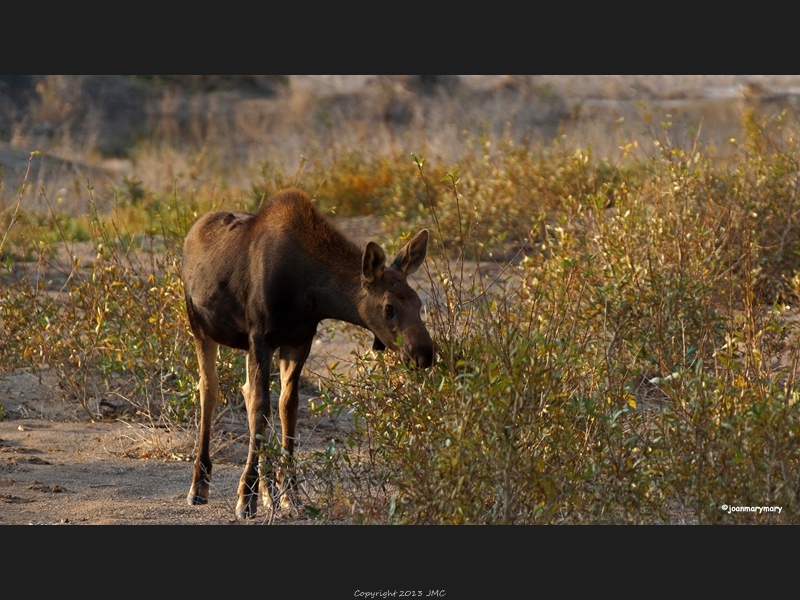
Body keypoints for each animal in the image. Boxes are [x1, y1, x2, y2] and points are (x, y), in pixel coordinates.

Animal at [183, 189, 432, 520]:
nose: (425, 354)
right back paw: (199, 486)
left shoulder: (298, 340)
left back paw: (268, 492)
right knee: (209, 389)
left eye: (418, 302)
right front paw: (246, 496)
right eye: (389, 307)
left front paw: (290, 496)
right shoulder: (260, 336)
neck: (311, 291)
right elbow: (262, 408)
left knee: (246, 391)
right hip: (200, 326)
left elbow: (287, 408)